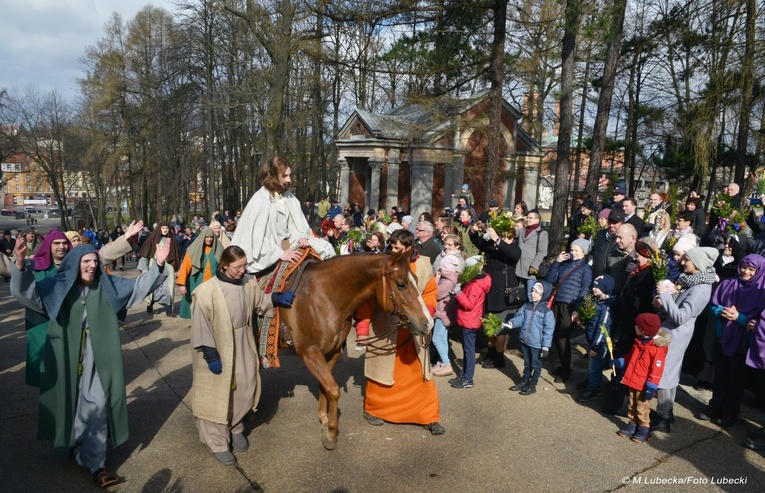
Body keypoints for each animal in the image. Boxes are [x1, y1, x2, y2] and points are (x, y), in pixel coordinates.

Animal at [278, 250, 432, 450]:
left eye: (416, 279)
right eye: (401, 284)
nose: (428, 323)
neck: (322, 297)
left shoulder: (332, 351)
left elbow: (324, 386)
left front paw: (324, 420)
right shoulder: (309, 351)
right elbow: (333, 389)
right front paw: (331, 433)